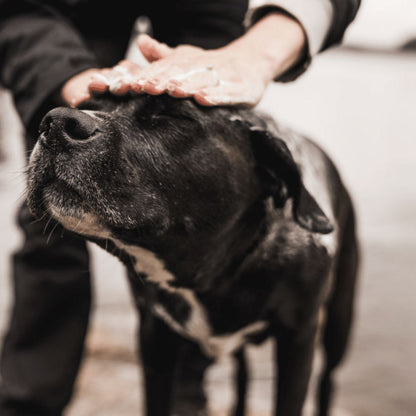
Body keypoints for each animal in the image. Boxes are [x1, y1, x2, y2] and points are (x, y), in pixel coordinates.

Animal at [27, 94, 360, 416]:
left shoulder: (298, 340)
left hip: (337, 328)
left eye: (171, 116)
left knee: (327, 380)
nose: (56, 121)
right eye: (90, 103)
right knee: (243, 374)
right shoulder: (155, 336)